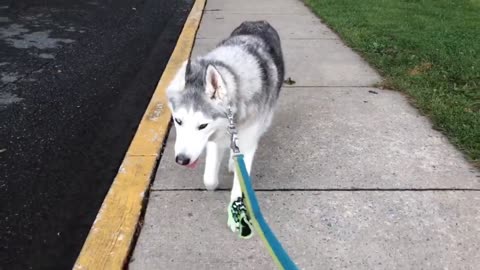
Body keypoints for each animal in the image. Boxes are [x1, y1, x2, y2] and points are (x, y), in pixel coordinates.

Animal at [166, 20, 284, 228]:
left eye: (202, 126)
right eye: (178, 121)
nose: (182, 160)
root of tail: (259, 22)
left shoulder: (247, 141)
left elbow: (240, 182)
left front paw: (238, 215)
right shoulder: (215, 139)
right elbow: (209, 179)